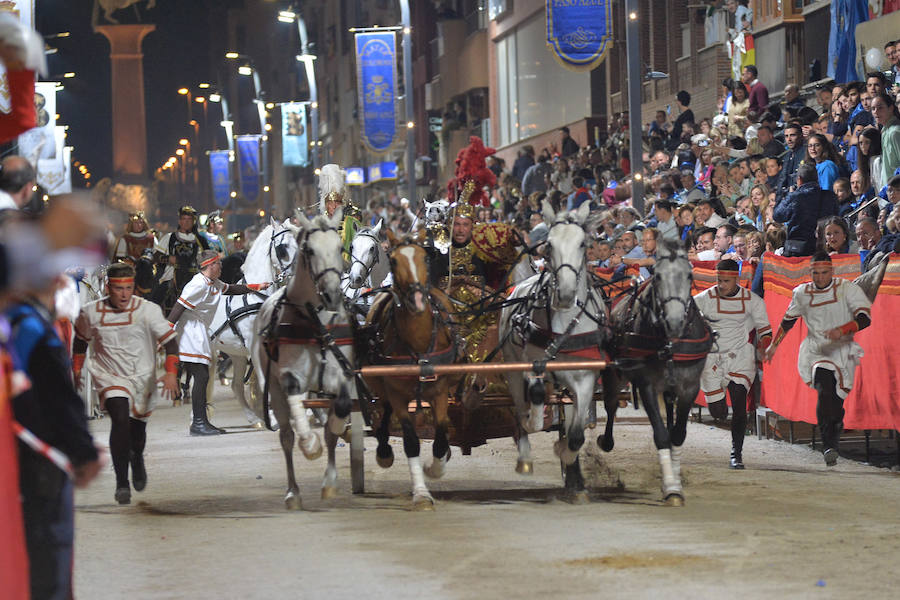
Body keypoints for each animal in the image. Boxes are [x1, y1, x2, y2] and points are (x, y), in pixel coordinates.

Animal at [208, 219, 298, 426]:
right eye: (282, 248)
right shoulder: (255, 347)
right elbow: (265, 381)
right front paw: (272, 417)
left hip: (237, 355)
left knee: (236, 385)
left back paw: (252, 418)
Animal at [251, 209, 356, 508]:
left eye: (340, 248)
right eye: (309, 250)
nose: (332, 294)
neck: (314, 322)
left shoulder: (340, 375)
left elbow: (340, 410)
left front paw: (339, 429)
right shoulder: (289, 377)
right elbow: (297, 415)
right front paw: (310, 445)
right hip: (272, 387)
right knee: (286, 435)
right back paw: (293, 492)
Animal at [358, 227, 458, 508]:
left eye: (425, 258)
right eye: (393, 261)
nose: (417, 299)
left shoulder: (440, 391)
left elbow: (441, 433)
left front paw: (435, 467)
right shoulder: (397, 394)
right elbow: (411, 442)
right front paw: (422, 494)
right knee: (383, 414)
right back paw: (383, 450)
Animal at [500, 202, 612, 502]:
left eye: (583, 243)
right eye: (548, 245)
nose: (565, 294)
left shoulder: (584, 379)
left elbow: (575, 436)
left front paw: (567, 458)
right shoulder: (529, 365)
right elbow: (535, 400)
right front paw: (534, 422)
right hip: (510, 367)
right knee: (520, 410)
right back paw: (524, 451)